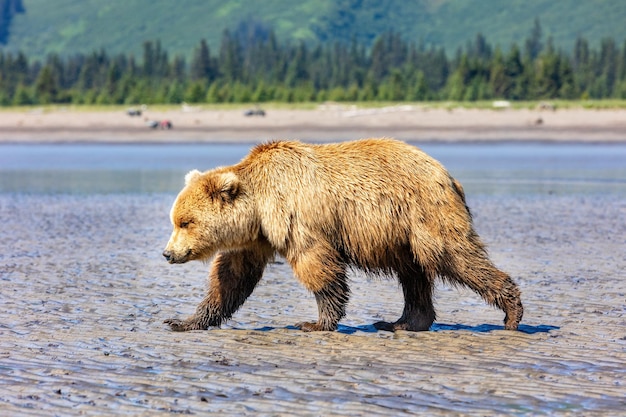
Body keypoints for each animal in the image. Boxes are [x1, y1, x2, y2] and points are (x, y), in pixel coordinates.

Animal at [162, 139, 520, 332]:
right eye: (175, 220)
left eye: (185, 222)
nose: (168, 253)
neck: (260, 207)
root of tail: (448, 175)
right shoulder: (254, 240)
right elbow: (230, 280)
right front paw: (183, 321)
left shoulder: (296, 219)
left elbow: (318, 266)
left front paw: (316, 322)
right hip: (402, 237)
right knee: (414, 275)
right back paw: (401, 322)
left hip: (425, 214)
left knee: (455, 255)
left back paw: (511, 312)